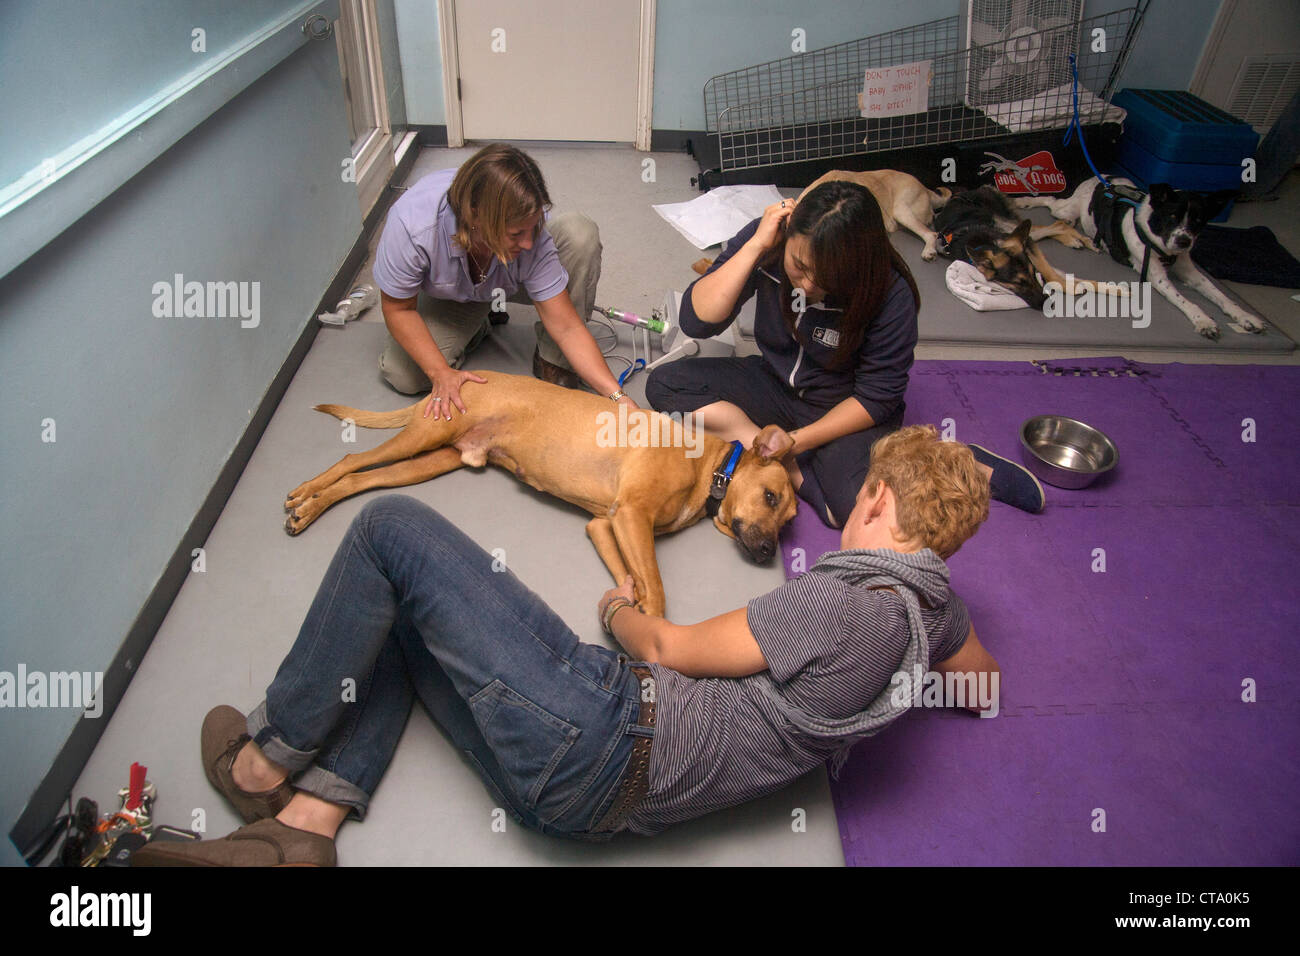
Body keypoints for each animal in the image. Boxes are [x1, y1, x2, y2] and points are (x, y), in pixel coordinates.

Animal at [284, 369, 795, 616]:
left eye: (789, 522)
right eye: (770, 497)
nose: (769, 554)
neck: (710, 469)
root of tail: (456, 375)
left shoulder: (605, 525)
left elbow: (633, 579)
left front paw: (629, 604)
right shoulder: (631, 515)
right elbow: (658, 592)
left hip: (432, 461)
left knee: (360, 479)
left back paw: (310, 508)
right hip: (422, 438)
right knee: (352, 461)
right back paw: (305, 496)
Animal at [1019, 176, 1263, 340]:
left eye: (1198, 220)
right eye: (1172, 216)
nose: (1184, 241)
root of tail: (1102, 178)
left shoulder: (1190, 271)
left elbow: (1220, 295)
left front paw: (1244, 316)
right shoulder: (1157, 277)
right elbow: (1185, 300)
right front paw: (1204, 320)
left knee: (1059, 223)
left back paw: (1079, 240)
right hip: (1067, 210)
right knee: (1052, 203)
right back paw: (1026, 202)